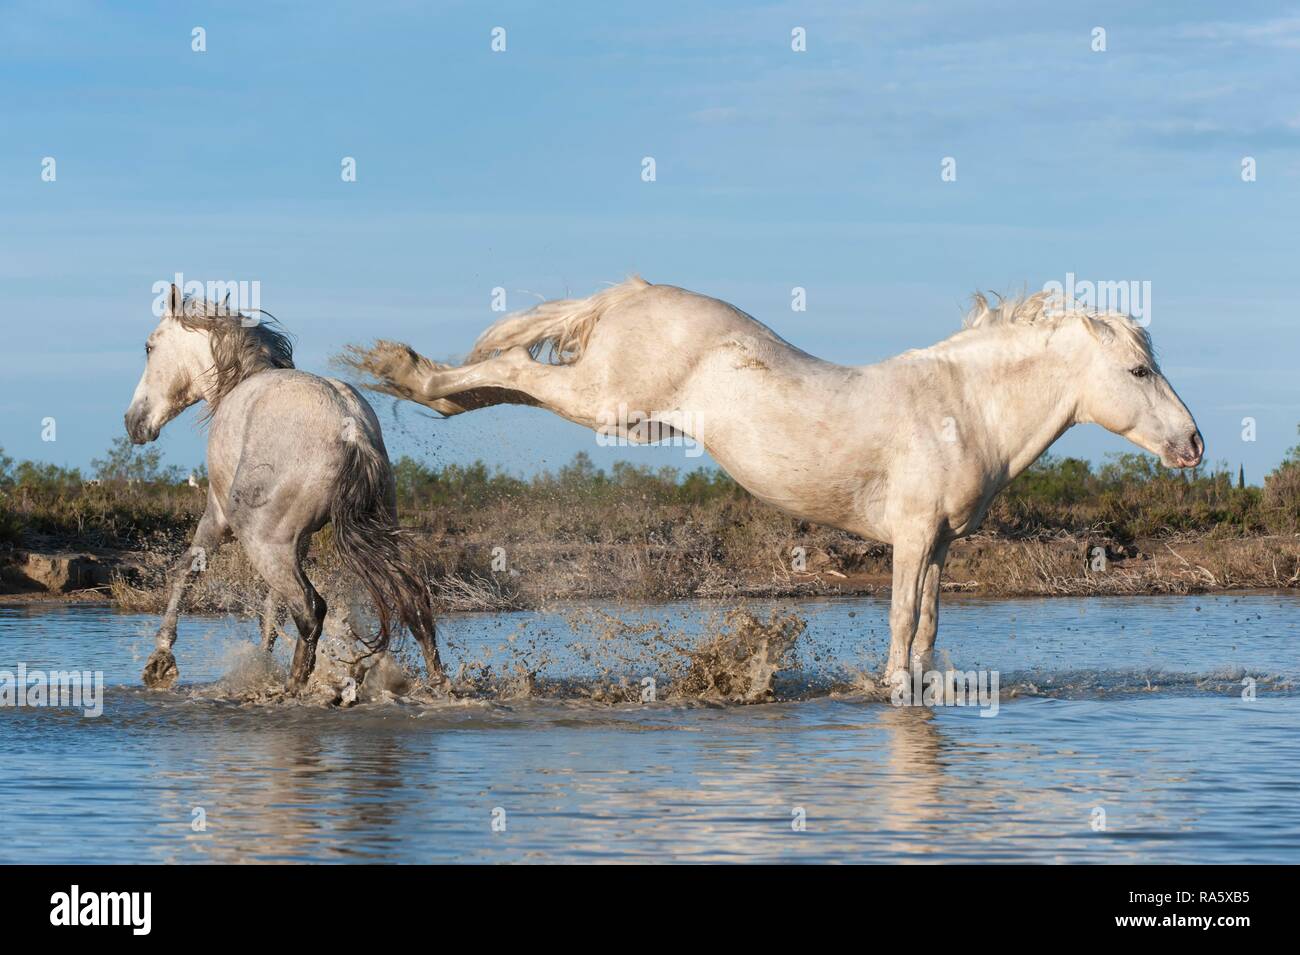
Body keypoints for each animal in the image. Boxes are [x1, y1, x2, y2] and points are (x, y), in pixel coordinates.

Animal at [343, 280, 1196, 691]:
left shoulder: (942, 546)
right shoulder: (912, 537)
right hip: (608, 400)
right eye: (1137, 370)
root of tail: (633, 291)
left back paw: (414, 382)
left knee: (502, 383)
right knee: (516, 369)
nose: (1193, 443)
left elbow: (925, 632)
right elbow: (899, 629)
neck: (962, 407)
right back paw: (401, 367)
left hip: (623, 413)